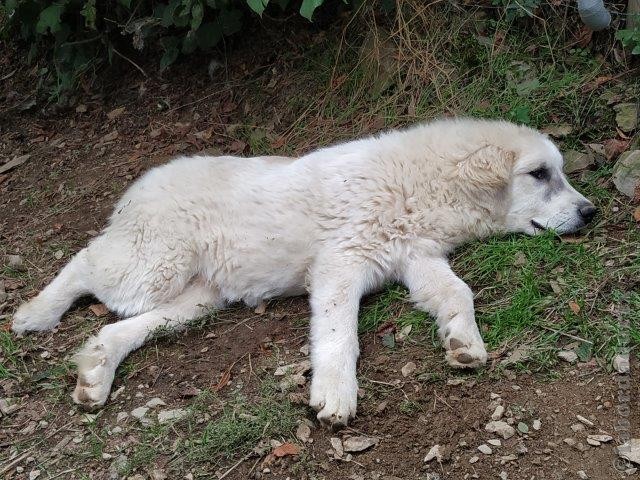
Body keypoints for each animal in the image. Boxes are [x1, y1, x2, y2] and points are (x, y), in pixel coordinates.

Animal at [13, 117, 596, 428]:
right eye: (538, 174)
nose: (591, 212)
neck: (422, 183)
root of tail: (139, 185)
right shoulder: (341, 266)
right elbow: (339, 336)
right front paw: (335, 394)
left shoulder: (418, 259)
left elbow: (459, 293)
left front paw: (463, 342)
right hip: (152, 266)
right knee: (85, 260)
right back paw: (35, 313)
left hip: (194, 300)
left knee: (119, 328)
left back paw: (96, 374)